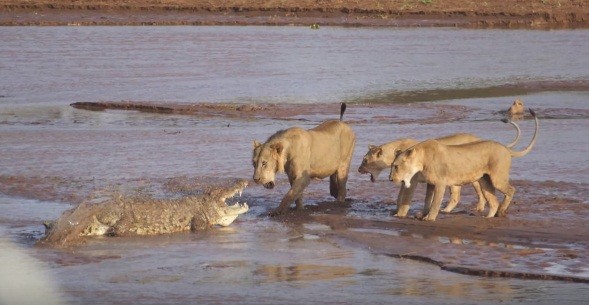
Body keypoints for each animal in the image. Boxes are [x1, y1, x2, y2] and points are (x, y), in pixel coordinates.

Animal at [356, 117, 520, 215]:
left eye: (365, 160)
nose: (358, 169)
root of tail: (478, 138)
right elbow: (400, 196)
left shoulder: (412, 180)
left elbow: (405, 196)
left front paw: (400, 214)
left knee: (476, 192)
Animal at [390, 108, 536, 220]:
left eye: (396, 166)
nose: (390, 179)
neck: (422, 159)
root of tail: (505, 148)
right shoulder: (431, 183)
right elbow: (427, 200)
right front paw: (422, 214)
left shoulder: (440, 183)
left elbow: (434, 202)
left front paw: (428, 218)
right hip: (485, 181)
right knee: (493, 201)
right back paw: (489, 217)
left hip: (497, 178)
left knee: (511, 190)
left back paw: (501, 212)